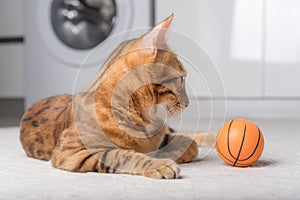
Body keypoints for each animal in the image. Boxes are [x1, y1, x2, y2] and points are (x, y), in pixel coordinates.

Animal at [19, 14, 213, 179]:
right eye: (181, 78)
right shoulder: (71, 153)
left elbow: (185, 142)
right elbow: (122, 155)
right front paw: (160, 163)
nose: (188, 103)